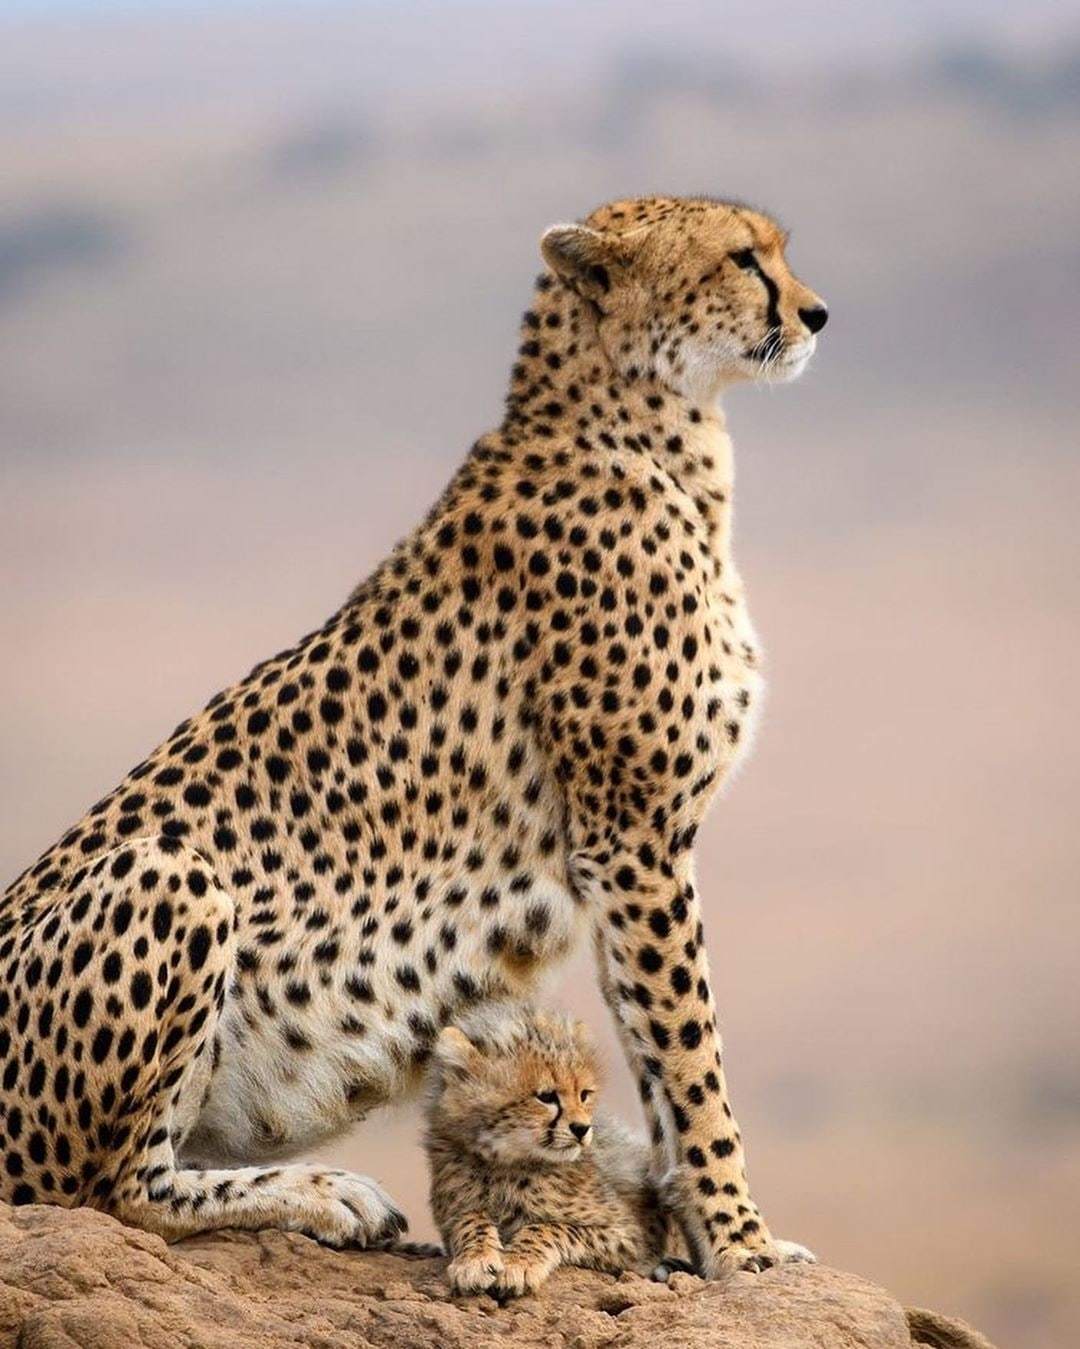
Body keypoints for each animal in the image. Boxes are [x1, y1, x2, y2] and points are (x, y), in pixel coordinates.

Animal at [0, 195, 825, 1278]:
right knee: (107, 1189)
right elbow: (694, 1061)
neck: (651, 430)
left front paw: (700, 1236)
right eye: (741, 257)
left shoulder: (621, 855)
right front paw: (744, 1243)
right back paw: (325, 1190)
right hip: (171, 871)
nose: (817, 313)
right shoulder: (633, 835)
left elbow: (657, 1056)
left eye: (775, 251)